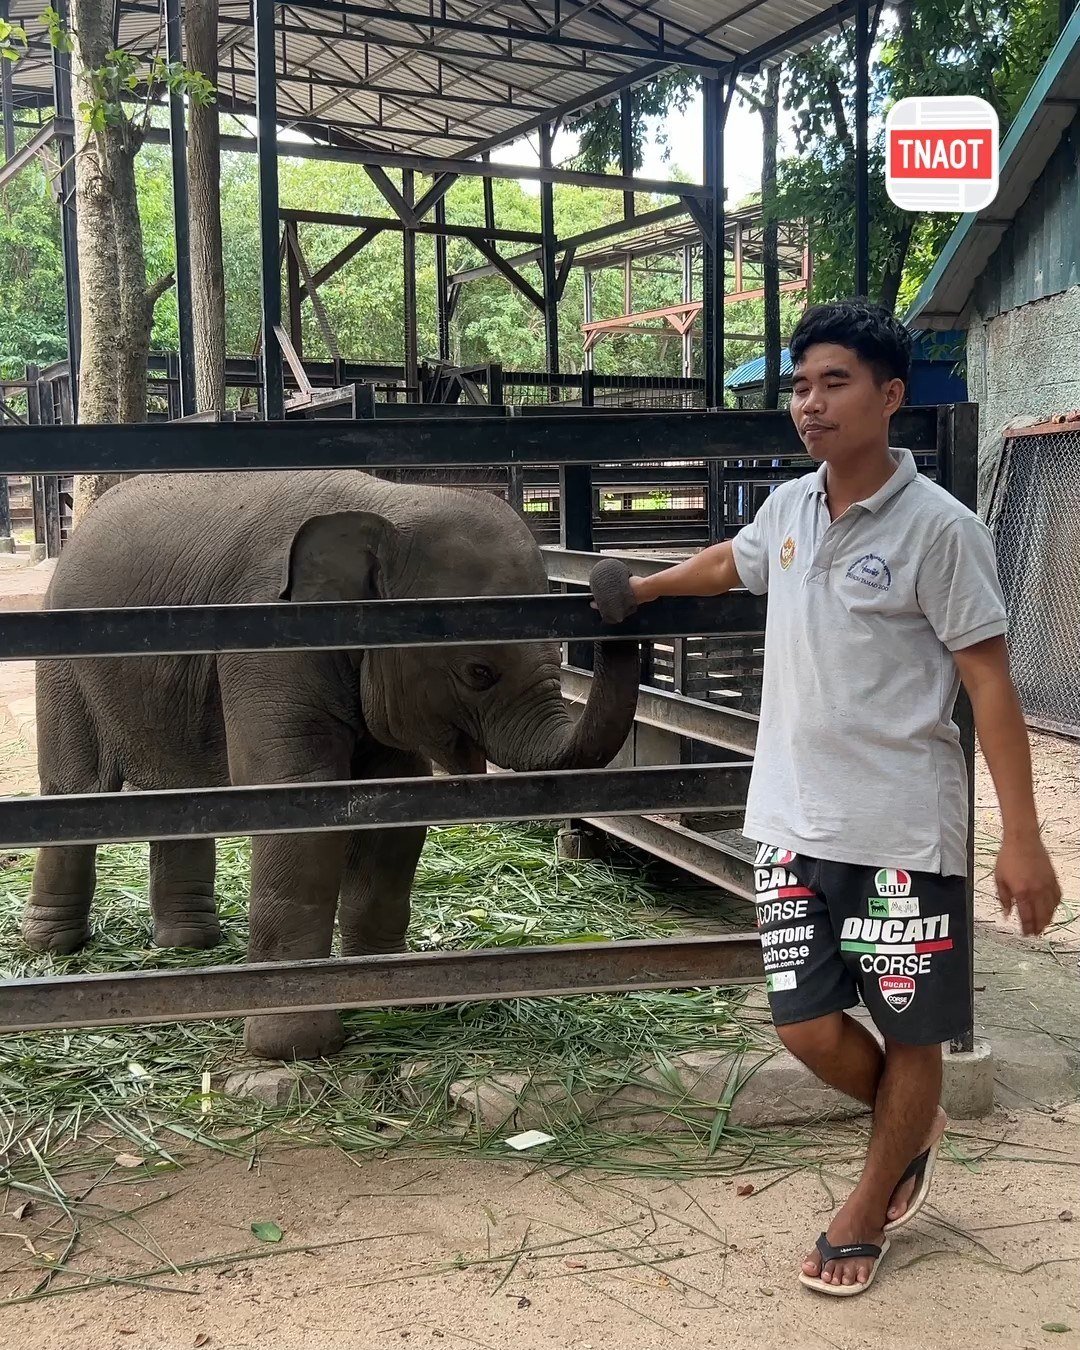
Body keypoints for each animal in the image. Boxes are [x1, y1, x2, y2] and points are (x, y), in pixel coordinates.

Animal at [22, 470, 641, 1060]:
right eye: (478, 672)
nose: (616, 581)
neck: (386, 504)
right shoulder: (269, 645)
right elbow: (299, 803)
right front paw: (291, 1047)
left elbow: (397, 802)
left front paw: (393, 1004)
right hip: (65, 666)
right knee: (76, 791)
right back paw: (52, 948)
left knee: (181, 799)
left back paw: (188, 946)